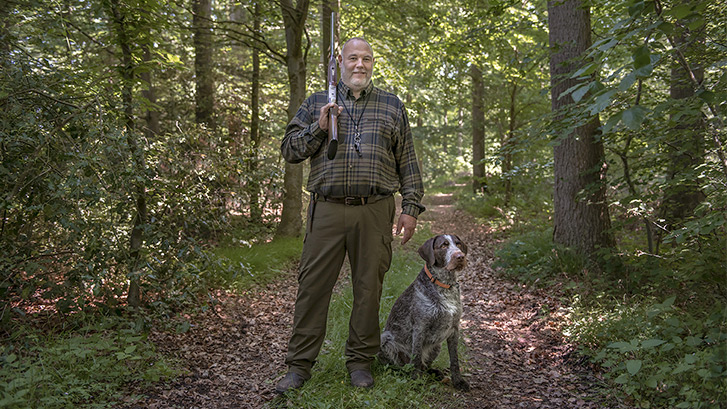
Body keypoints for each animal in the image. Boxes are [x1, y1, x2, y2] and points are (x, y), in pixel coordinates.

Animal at [378, 234, 470, 390]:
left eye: (458, 244)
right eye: (444, 245)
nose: (460, 256)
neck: (445, 285)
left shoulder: (454, 329)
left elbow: (454, 360)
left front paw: (458, 381)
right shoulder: (419, 328)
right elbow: (416, 357)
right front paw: (415, 382)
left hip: (436, 345)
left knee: (424, 366)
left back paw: (433, 372)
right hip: (385, 339)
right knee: (402, 367)